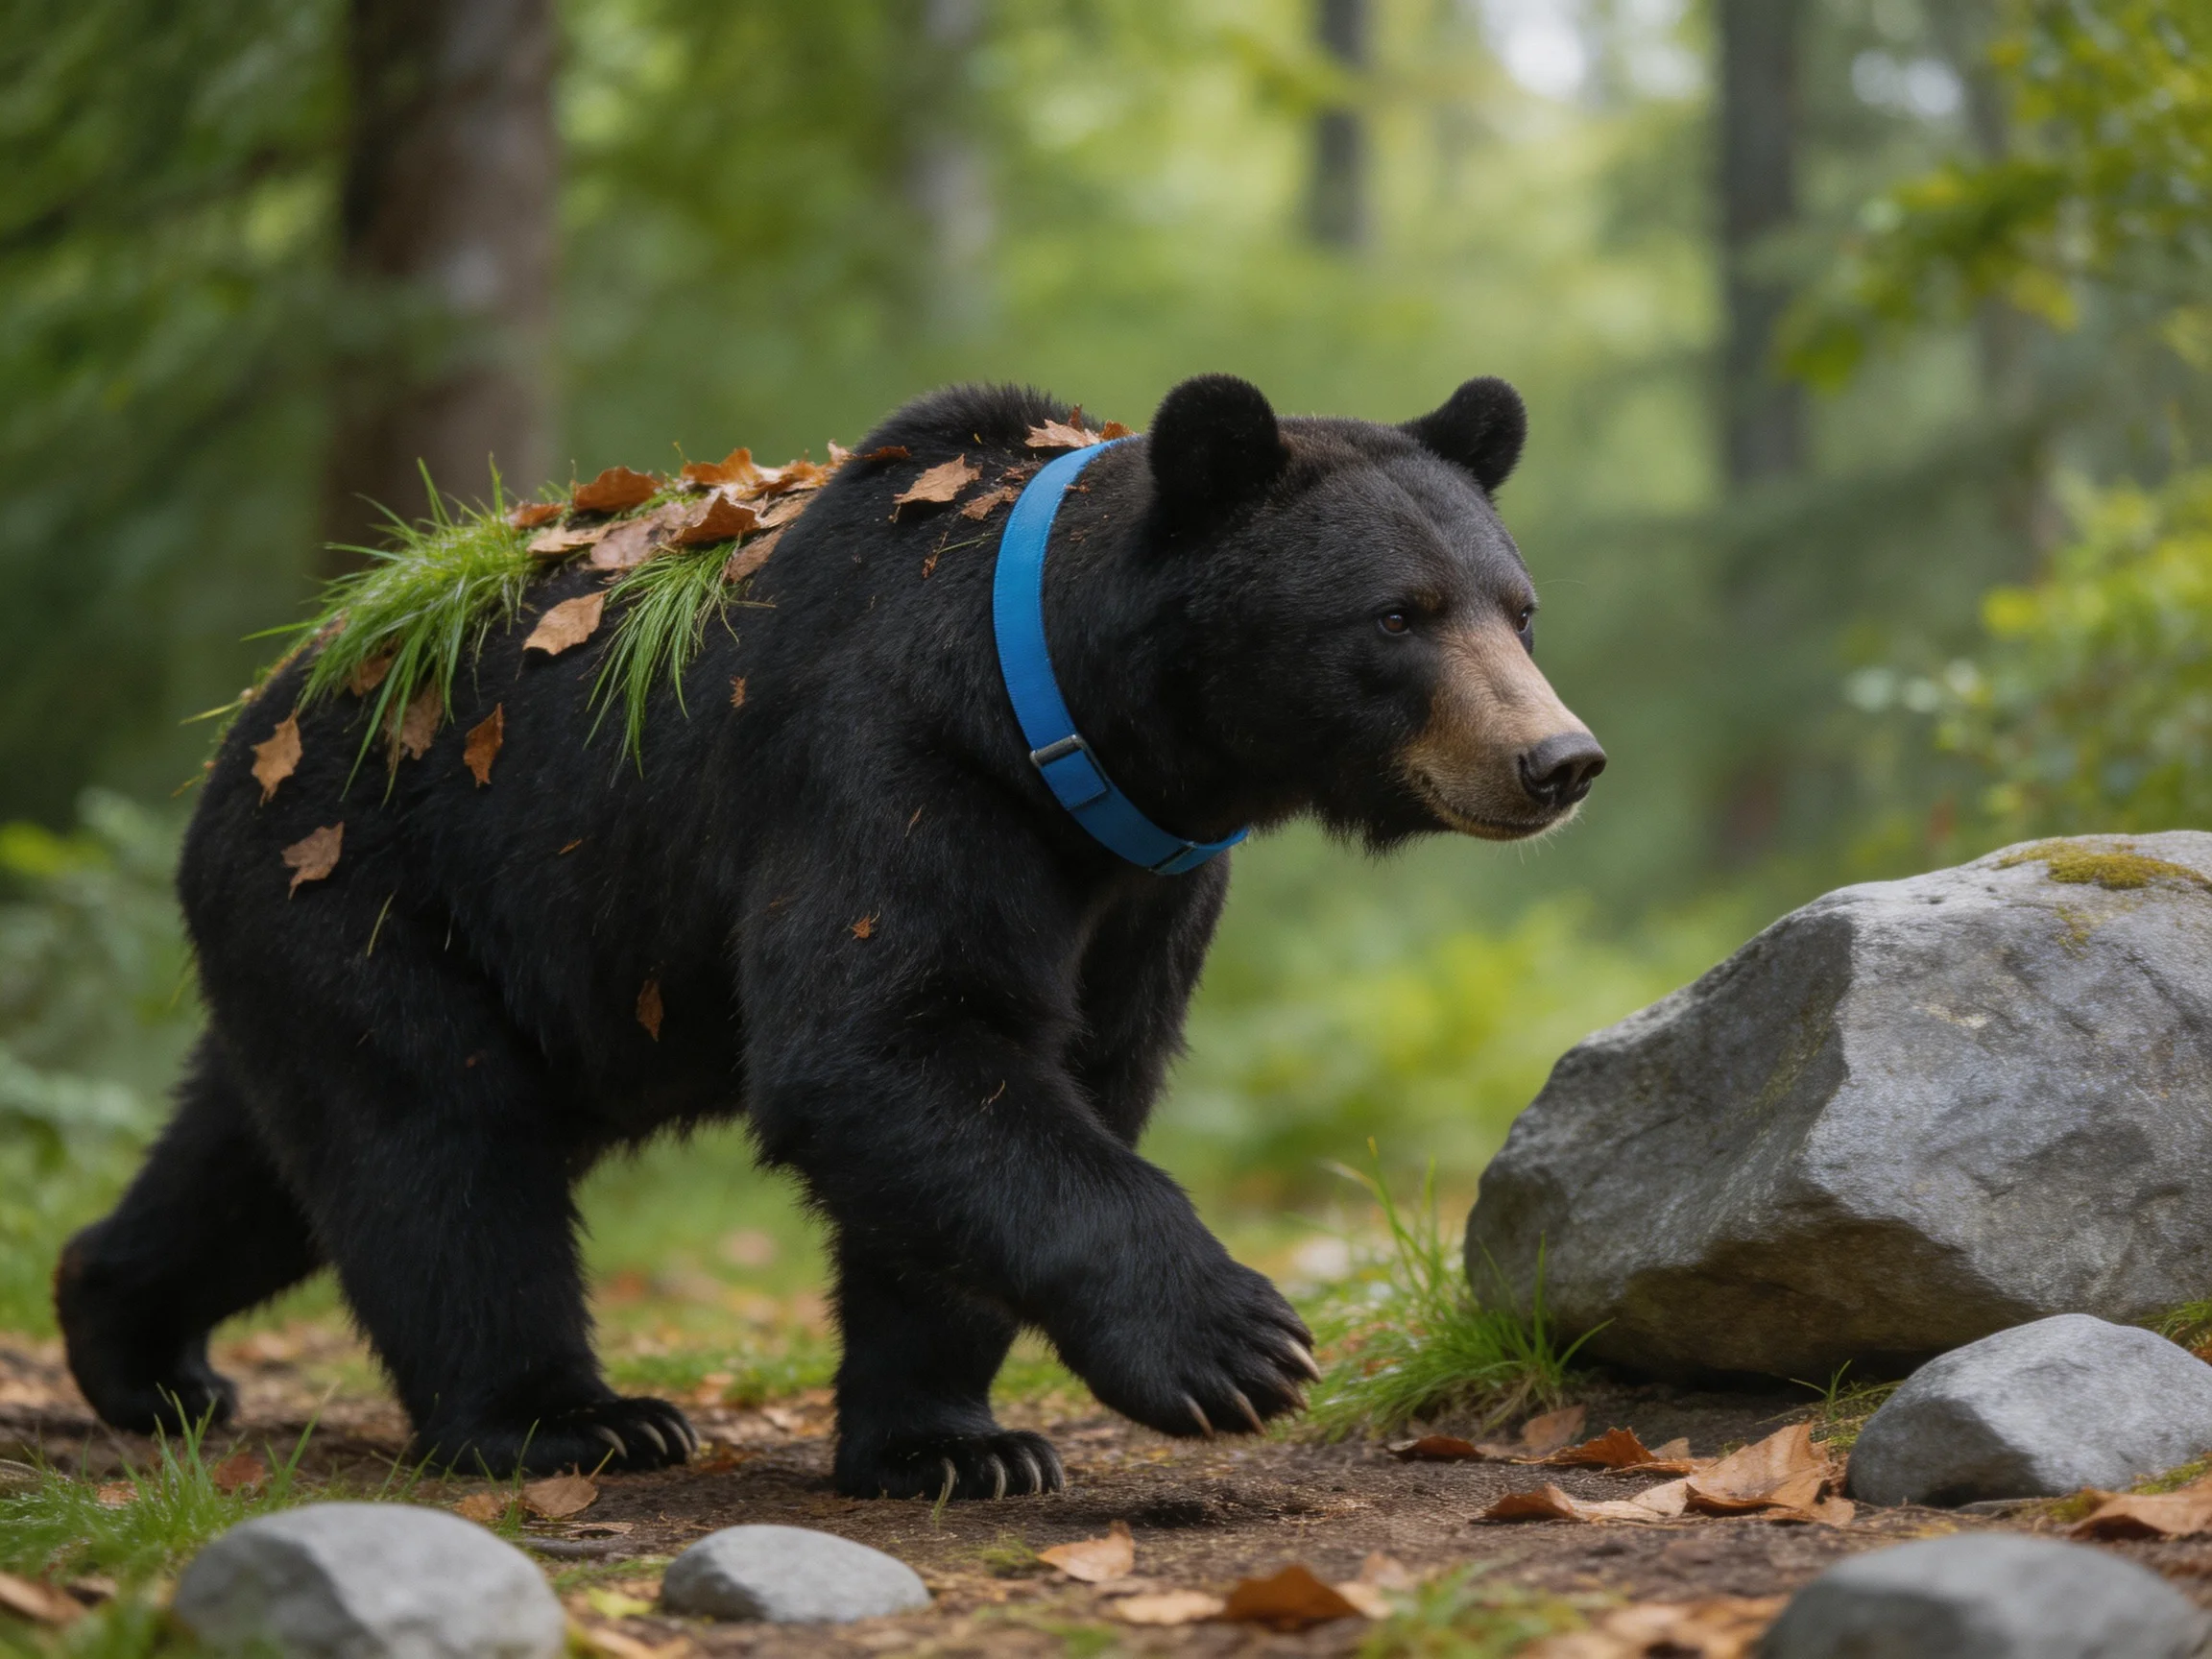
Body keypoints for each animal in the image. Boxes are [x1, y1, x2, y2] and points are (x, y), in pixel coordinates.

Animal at [55, 372, 1604, 1498]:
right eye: (1397, 615)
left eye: (1519, 609)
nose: (1557, 760)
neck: (1079, 738)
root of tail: (264, 710)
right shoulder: (889, 774)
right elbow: (886, 1041)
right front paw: (1236, 1344)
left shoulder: (1143, 889)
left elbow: (1035, 1090)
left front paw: (957, 1443)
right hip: (384, 880)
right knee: (438, 1148)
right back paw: (569, 1421)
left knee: (262, 1154)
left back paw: (134, 1342)